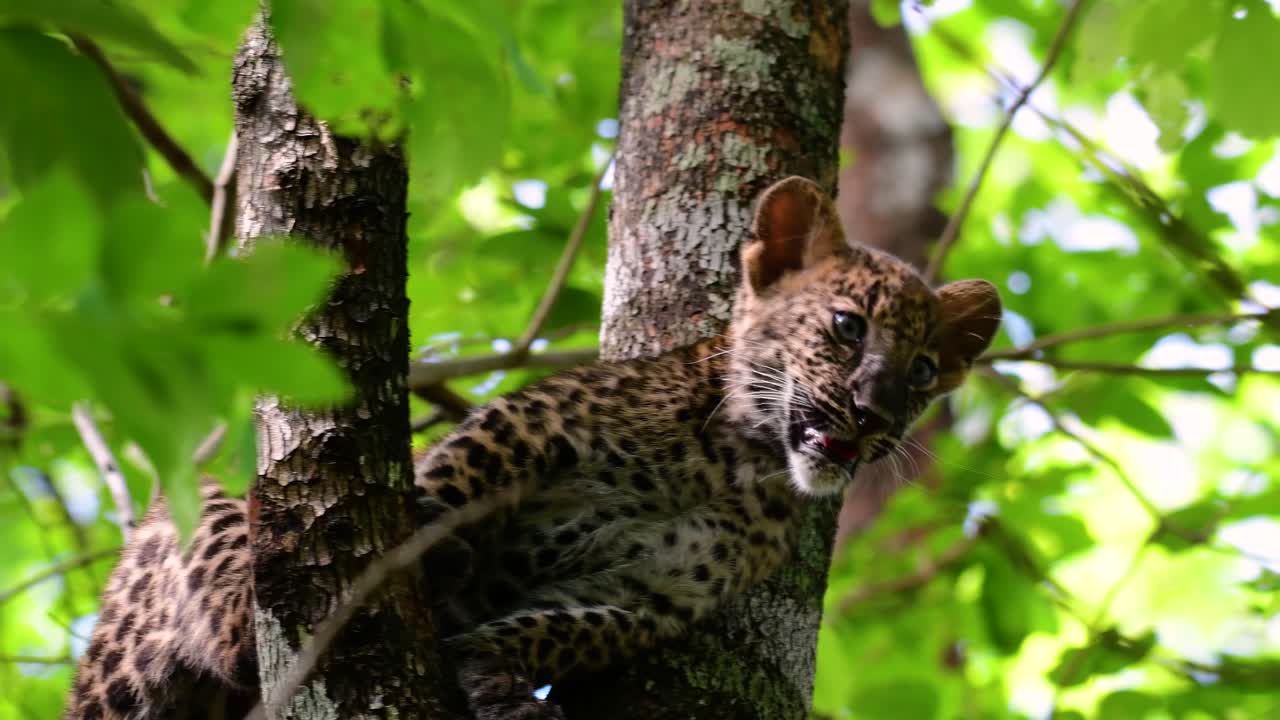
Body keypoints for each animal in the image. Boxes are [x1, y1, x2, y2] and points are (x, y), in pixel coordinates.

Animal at [66, 176, 1001, 720]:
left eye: (923, 372)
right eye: (847, 328)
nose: (877, 412)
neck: (737, 464)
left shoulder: (650, 594)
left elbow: (565, 628)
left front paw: (497, 674)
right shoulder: (535, 426)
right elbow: (457, 477)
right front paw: (432, 544)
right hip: (188, 525)